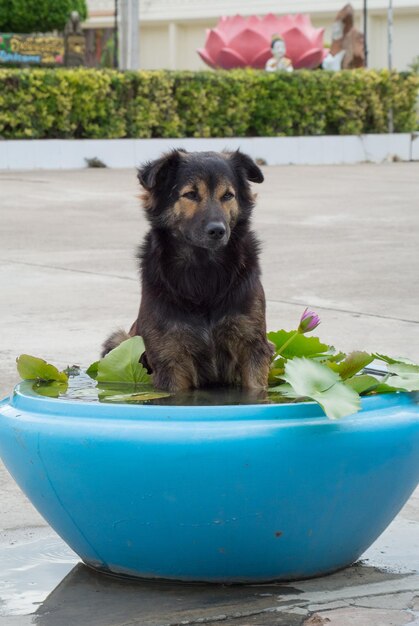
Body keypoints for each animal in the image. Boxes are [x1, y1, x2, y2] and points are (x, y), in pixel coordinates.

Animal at [103, 147, 274, 390]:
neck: (204, 268)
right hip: (118, 342)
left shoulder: (252, 346)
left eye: (227, 195)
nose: (217, 231)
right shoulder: (170, 357)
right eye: (191, 194)